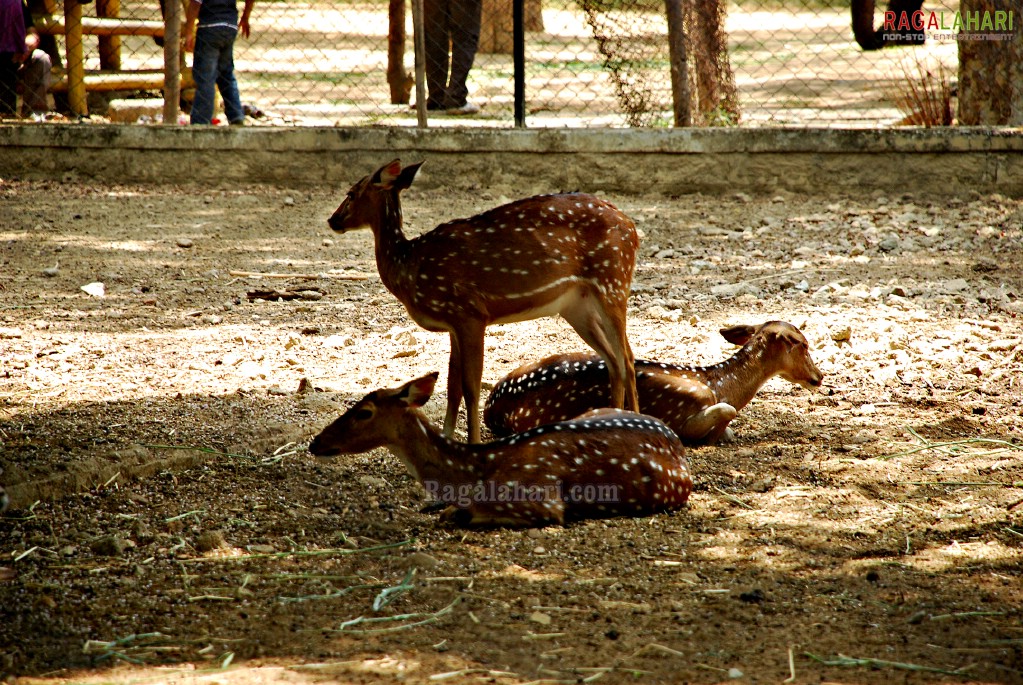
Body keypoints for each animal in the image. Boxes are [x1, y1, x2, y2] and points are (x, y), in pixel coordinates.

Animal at [327, 158, 634, 443]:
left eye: (351, 193)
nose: (333, 220)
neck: (409, 266)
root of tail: (631, 226)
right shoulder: (452, 324)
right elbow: (452, 386)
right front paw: (447, 436)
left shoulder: (470, 313)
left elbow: (470, 387)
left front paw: (471, 442)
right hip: (578, 305)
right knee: (615, 359)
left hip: (613, 281)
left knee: (626, 360)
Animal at [482, 321, 826, 445]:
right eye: (803, 344)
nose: (819, 377)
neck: (719, 384)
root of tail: (491, 409)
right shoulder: (688, 413)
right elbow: (726, 413)